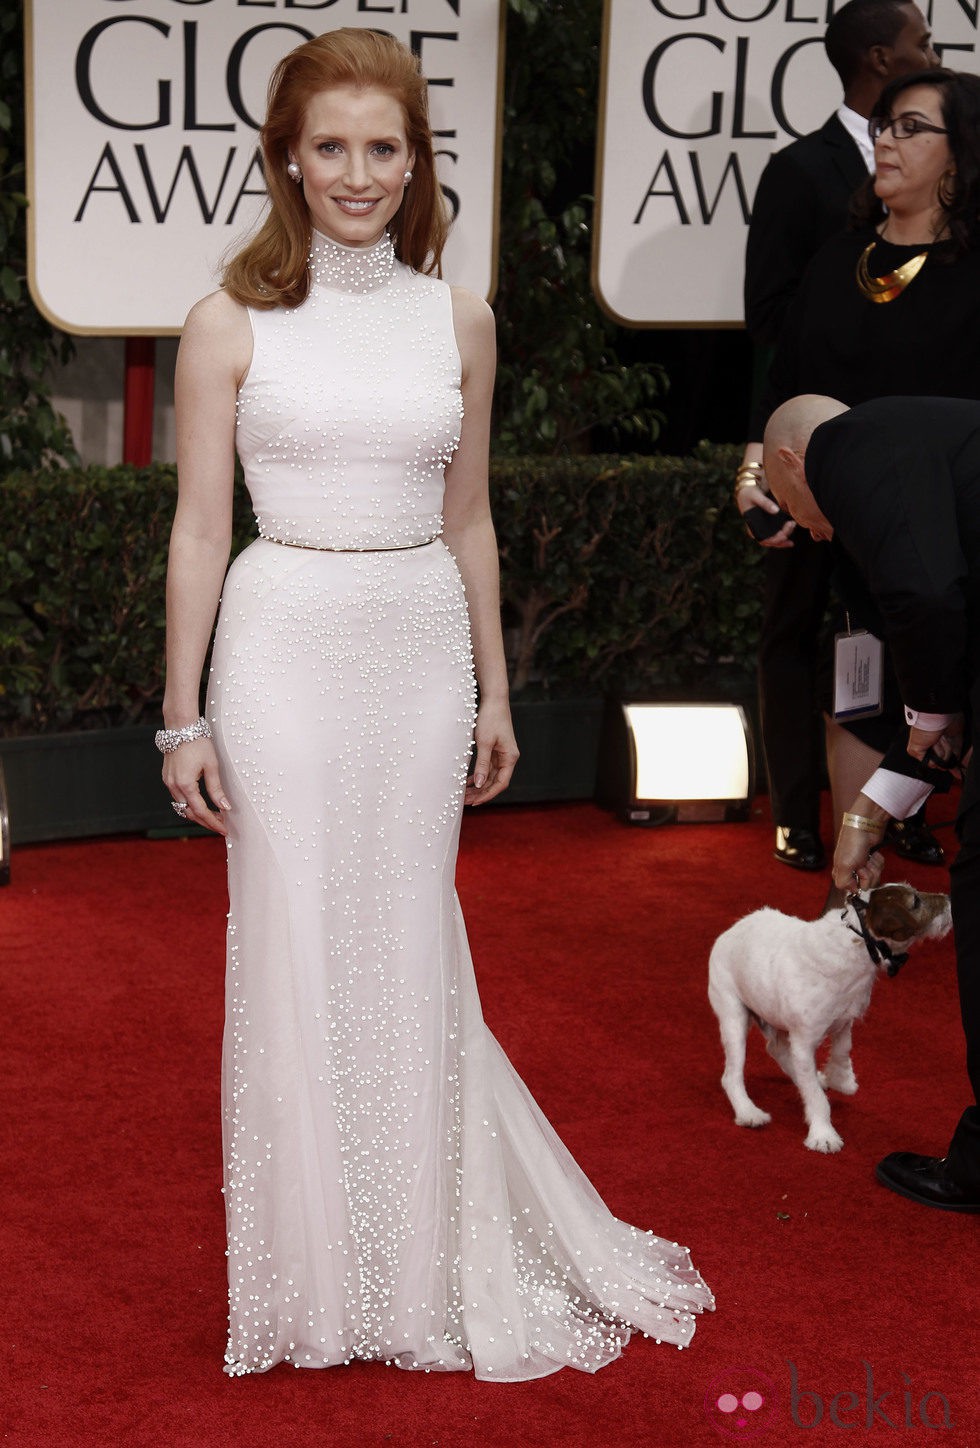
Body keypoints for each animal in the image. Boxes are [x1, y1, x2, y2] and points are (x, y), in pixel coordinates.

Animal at [706, 880, 949, 1152]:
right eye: (915, 902)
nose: (949, 899)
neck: (856, 942)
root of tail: (733, 928)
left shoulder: (843, 1021)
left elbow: (843, 1049)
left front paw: (841, 1078)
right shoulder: (804, 1042)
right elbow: (816, 1097)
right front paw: (823, 1134)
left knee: (776, 1049)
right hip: (733, 1015)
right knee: (732, 1075)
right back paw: (749, 1112)